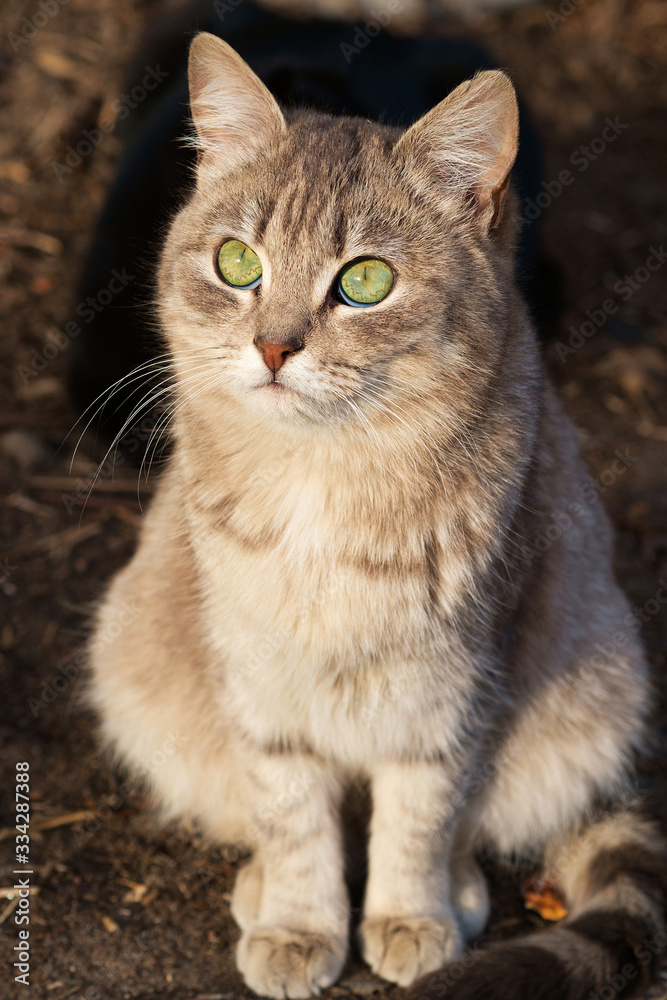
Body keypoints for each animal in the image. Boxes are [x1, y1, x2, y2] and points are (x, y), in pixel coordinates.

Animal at [88, 31, 667, 1000]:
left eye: (364, 281)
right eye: (237, 264)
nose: (273, 346)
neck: (323, 475)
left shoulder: (456, 684)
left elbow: (421, 813)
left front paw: (409, 916)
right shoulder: (258, 678)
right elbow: (290, 814)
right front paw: (298, 923)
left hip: (596, 688)